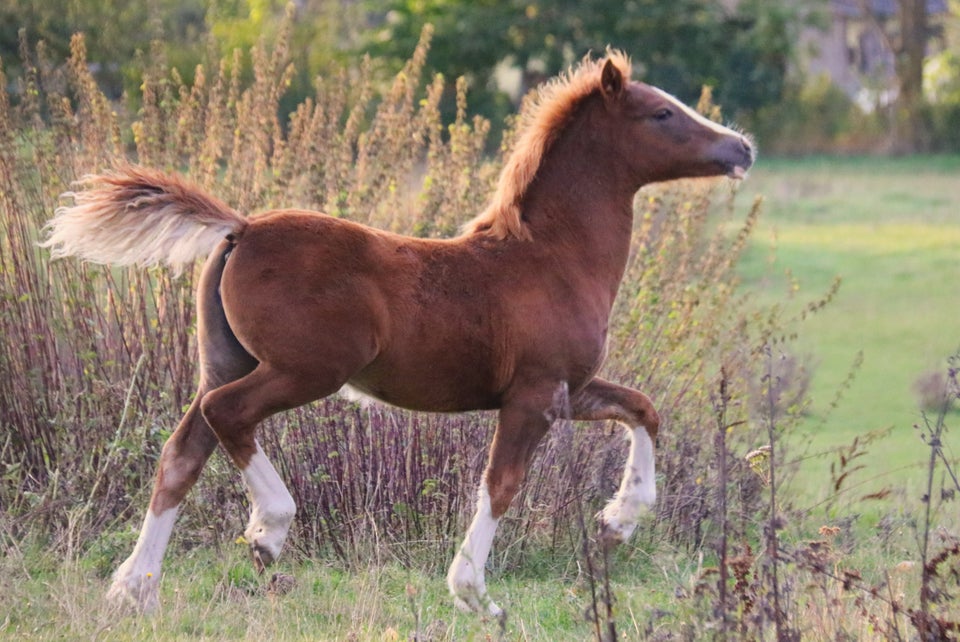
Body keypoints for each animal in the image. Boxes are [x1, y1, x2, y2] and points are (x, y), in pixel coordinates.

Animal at [43, 55, 752, 616]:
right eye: (661, 113)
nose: (741, 148)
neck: (551, 257)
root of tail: (240, 228)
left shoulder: (567, 388)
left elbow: (643, 409)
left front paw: (617, 522)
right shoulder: (533, 395)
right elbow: (502, 484)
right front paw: (474, 594)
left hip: (225, 360)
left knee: (183, 451)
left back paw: (134, 589)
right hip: (305, 370)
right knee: (227, 416)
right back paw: (268, 530)